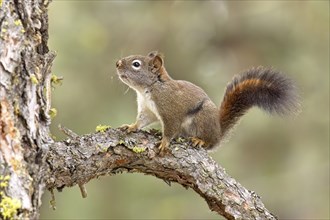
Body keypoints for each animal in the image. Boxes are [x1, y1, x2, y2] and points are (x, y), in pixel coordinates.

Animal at [114, 51, 300, 153]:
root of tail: (218, 133)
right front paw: (131, 127)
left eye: (136, 64)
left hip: (203, 117)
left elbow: (170, 127)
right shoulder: (148, 109)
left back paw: (200, 141)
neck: (150, 88)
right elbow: (142, 120)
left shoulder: (170, 110)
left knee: (207, 141)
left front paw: (164, 143)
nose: (117, 63)